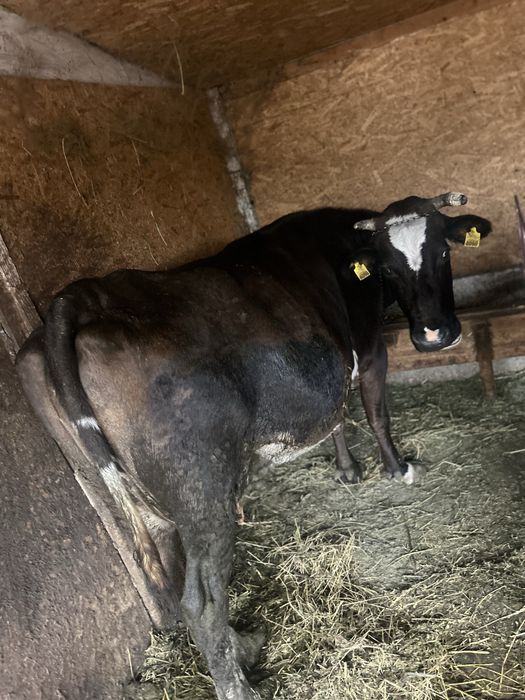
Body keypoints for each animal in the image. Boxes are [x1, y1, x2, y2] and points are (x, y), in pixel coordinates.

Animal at [16, 193, 491, 700]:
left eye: (443, 251)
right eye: (387, 266)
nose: (434, 334)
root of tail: (81, 296)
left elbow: (336, 416)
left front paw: (347, 470)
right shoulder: (369, 347)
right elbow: (374, 412)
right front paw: (397, 468)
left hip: (120, 492)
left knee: (173, 581)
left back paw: (243, 645)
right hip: (202, 488)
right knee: (201, 602)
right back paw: (239, 684)